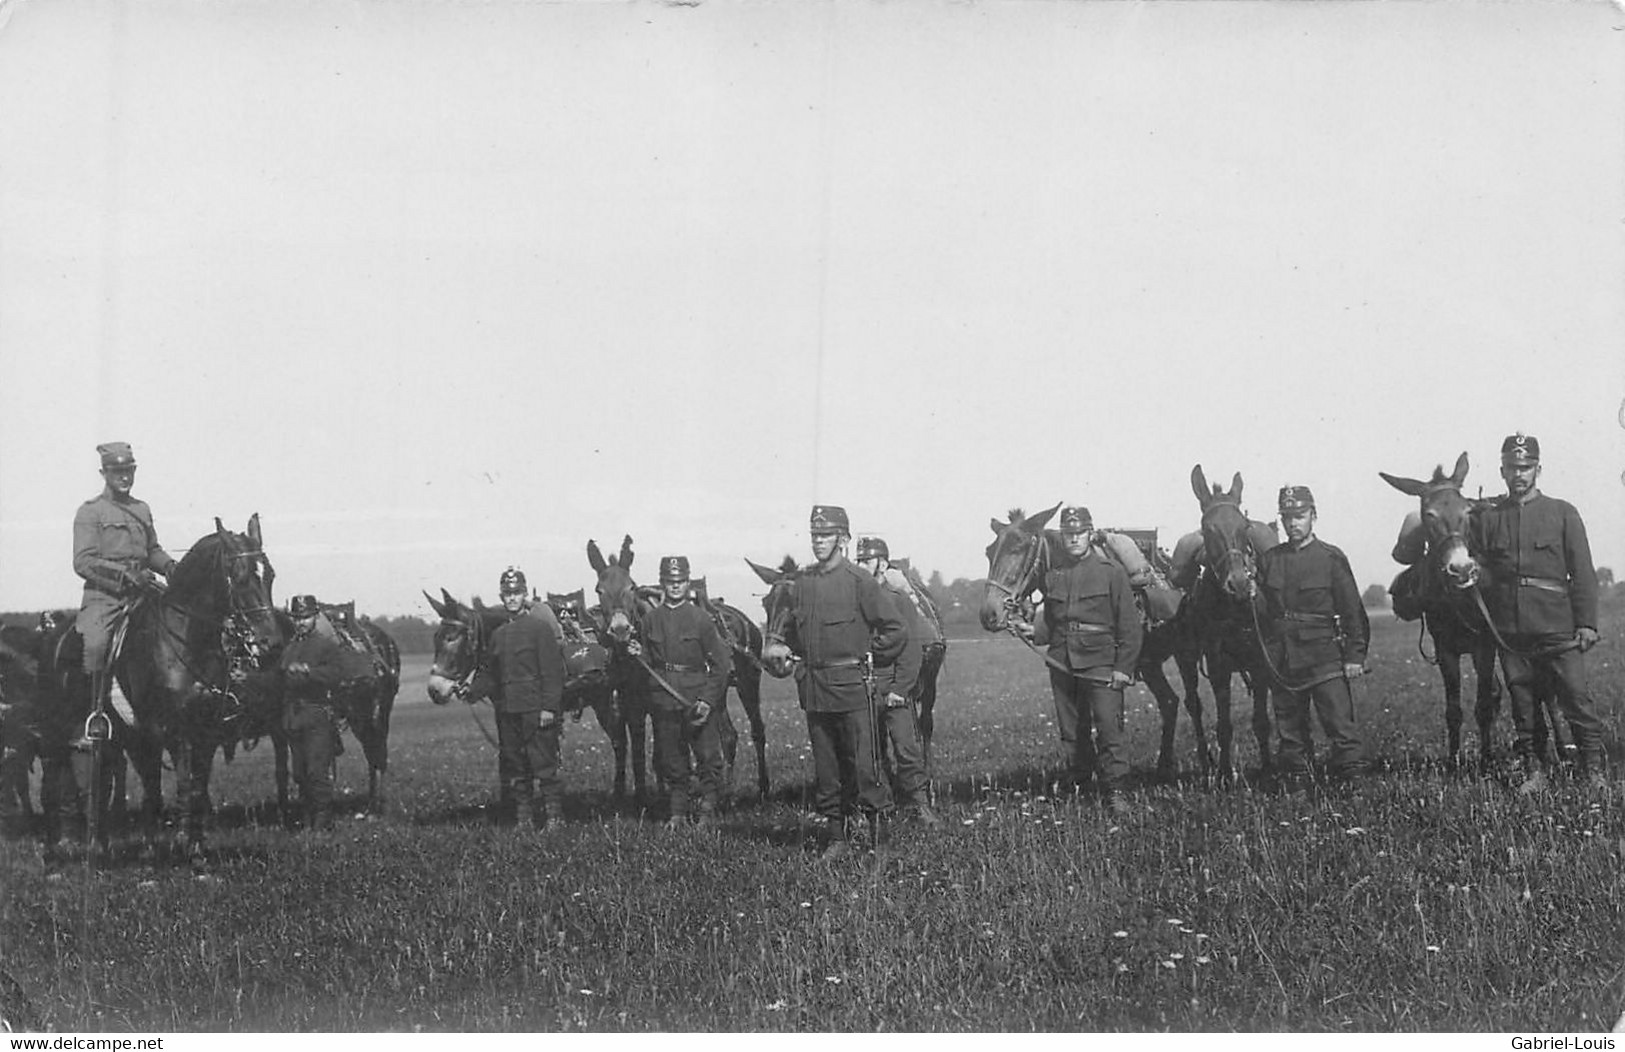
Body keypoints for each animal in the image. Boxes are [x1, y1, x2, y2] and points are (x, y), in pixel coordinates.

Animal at [38, 513, 286, 858]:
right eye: (238, 577)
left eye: (270, 575)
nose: (272, 644)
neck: (185, 642)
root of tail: (53, 636)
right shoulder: (169, 732)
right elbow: (179, 786)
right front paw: (180, 844)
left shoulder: (203, 732)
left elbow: (195, 788)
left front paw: (193, 845)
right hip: (56, 735)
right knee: (54, 781)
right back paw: (57, 847)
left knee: (101, 782)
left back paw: (99, 844)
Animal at [968, 500, 1215, 780]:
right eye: (989, 552)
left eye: (1019, 547)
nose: (990, 614)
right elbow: (1083, 724)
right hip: (1150, 664)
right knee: (1169, 703)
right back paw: (1163, 767)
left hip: (1186, 654)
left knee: (1192, 704)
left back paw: (1206, 763)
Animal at [1183, 468, 1280, 780]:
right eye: (1207, 529)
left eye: (1244, 526)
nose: (1238, 584)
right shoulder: (1218, 665)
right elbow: (1224, 725)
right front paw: (1226, 774)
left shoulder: (1261, 662)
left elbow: (1261, 721)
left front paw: (1268, 768)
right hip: (1186, 660)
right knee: (1193, 705)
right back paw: (1207, 764)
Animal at [1384, 452, 1508, 764]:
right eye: (1428, 515)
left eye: (1467, 512)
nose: (1461, 569)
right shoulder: (1446, 651)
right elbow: (1453, 711)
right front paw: (1454, 763)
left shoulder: (1485, 647)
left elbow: (1483, 707)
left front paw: (1486, 762)